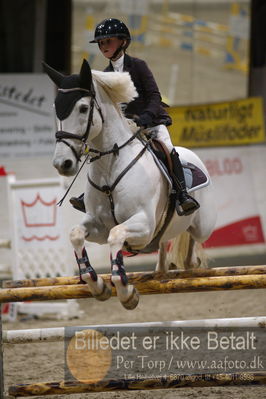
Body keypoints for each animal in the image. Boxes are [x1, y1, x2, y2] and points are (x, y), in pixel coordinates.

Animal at [43, 58, 217, 310]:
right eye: (57, 109)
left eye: (83, 108)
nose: (62, 163)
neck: (110, 165)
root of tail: (193, 155)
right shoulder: (98, 225)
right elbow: (77, 234)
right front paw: (98, 285)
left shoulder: (143, 225)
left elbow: (116, 236)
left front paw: (126, 292)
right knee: (164, 241)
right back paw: (163, 267)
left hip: (203, 225)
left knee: (194, 239)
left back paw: (189, 259)